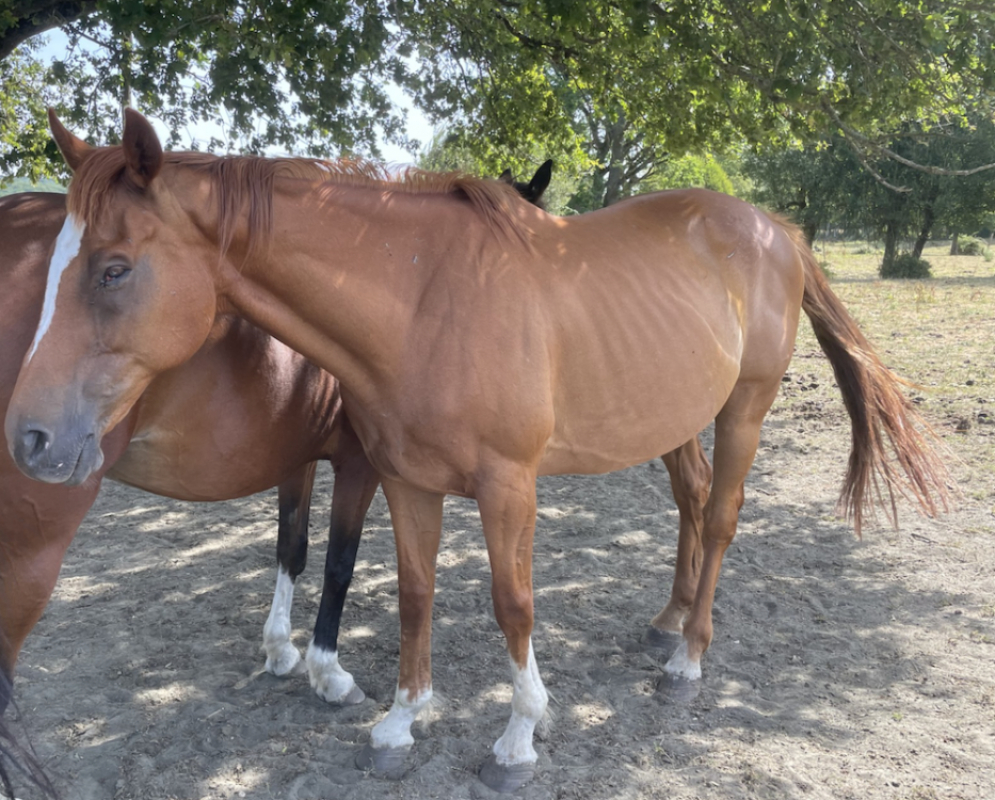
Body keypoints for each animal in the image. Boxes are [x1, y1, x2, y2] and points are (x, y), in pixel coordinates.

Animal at [5, 111, 949, 793]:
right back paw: (666, 625)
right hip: (676, 415)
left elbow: (511, 605)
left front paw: (517, 738)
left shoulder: (507, 488)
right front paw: (399, 721)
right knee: (691, 503)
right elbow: (413, 594)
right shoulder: (402, 480)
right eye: (53, 268)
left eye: (114, 268)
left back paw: (687, 659)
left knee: (718, 517)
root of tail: (774, 229)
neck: (423, 301)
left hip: (744, 408)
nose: (29, 437)